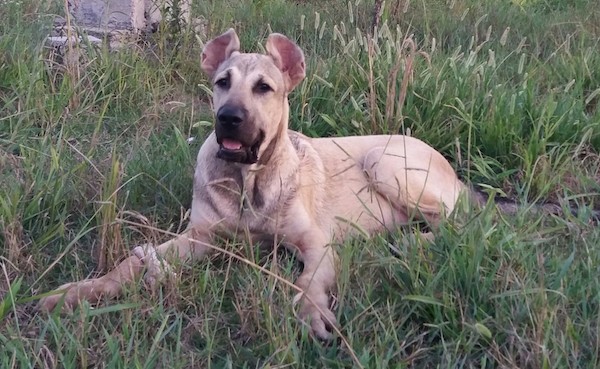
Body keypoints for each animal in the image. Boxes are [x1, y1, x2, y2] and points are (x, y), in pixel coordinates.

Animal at [38, 28, 464, 340]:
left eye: (264, 88)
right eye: (222, 82)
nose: (228, 118)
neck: (249, 182)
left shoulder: (317, 243)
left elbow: (308, 281)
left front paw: (310, 312)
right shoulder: (199, 237)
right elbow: (132, 262)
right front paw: (81, 290)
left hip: (382, 161)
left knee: (458, 223)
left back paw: (407, 242)